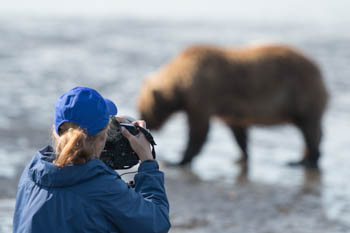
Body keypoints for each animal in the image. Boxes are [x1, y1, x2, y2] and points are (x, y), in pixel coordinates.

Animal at [137, 44, 328, 168]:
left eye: (143, 109)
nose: (147, 123)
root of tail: (319, 71)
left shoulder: (203, 95)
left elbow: (198, 130)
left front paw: (178, 160)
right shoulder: (229, 108)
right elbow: (238, 132)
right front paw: (242, 155)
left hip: (301, 93)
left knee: (310, 128)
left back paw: (305, 161)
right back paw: (301, 159)